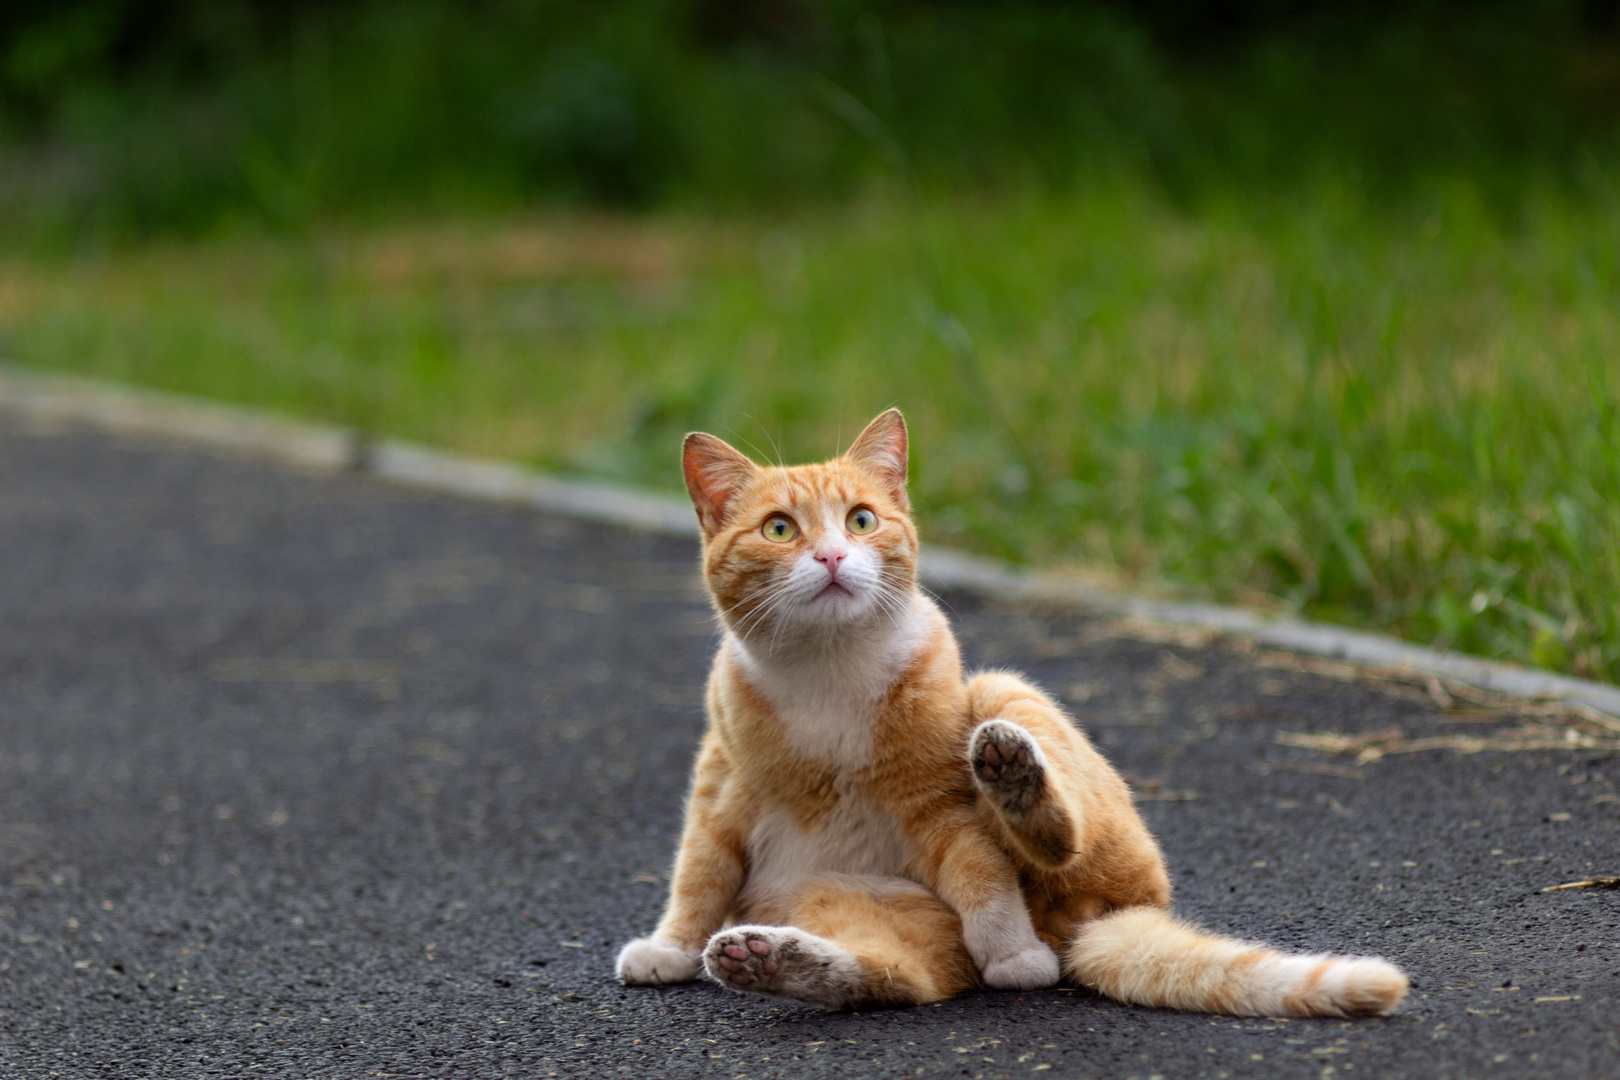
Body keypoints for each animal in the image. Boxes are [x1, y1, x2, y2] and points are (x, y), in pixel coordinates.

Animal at [612, 409, 1412, 1016]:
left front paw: (1013, 954)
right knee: (893, 976)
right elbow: (697, 876)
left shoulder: (941, 808)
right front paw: (671, 949)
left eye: (862, 521)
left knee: (1052, 842)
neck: (828, 673)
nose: (834, 558)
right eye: (780, 530)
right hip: (846, 899)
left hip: (1000, 695)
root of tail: (1081, 930)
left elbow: (985, 878)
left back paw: (1013, 779)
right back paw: (767, 959)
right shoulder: (720, 791)